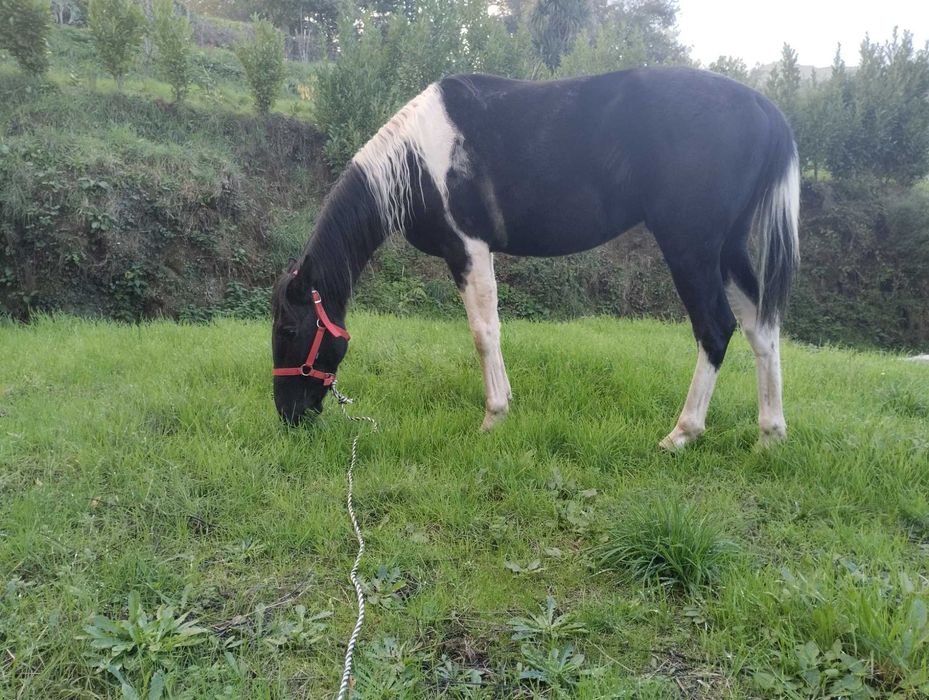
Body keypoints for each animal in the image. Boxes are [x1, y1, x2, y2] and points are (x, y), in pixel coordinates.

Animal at [271, 66, 799, 450]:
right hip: (727, 250)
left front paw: (494, 417)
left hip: (691, 247)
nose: (287, 415)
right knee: (762, 329)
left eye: (290, 331)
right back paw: (770, 436)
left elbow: (484, 333)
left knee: (716, 329)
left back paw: (681, 435)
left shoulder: (468, 249)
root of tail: (765, 109)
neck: (418, 160)